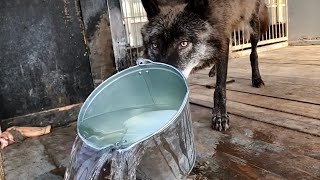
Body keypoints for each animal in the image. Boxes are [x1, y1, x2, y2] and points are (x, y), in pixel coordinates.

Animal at [141, 0, 268, 131]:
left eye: (183, 43)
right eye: (155, 45)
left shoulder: (222, 36)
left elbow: (220, 87)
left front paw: (220, 115)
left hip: (253, 24)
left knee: (253, 53)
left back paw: (256, 78)